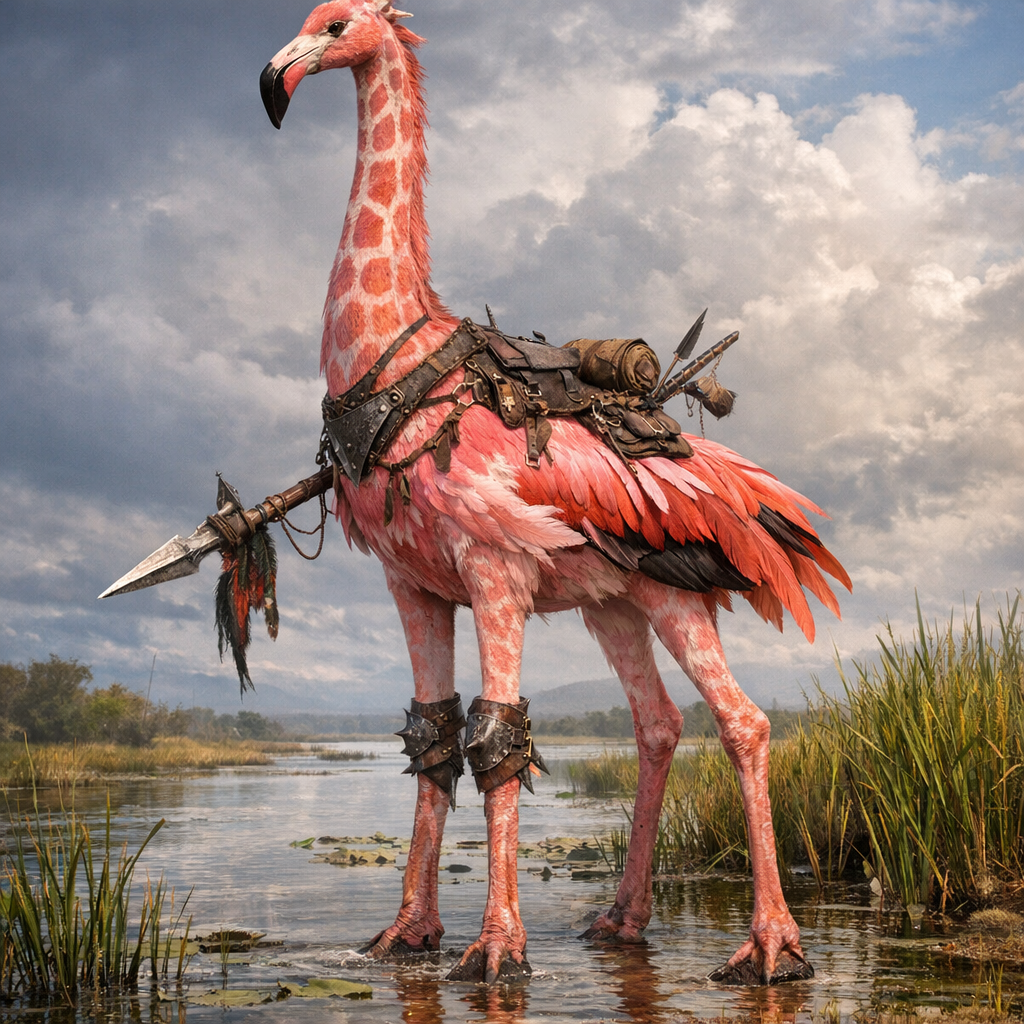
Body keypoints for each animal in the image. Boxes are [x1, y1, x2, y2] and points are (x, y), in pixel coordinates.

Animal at [261, 0, 849, 985]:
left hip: (677, 583)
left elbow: (495, 738)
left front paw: (497, 949)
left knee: (746, 723)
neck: (396, 358)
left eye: (335, 25)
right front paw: (405, 934)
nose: (276, 81)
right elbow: (433, 738)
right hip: (616, 596)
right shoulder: (412, 583)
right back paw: (620, 918)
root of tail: (759, 501)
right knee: (657, 725)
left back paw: (770, 946)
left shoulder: (494, 567)